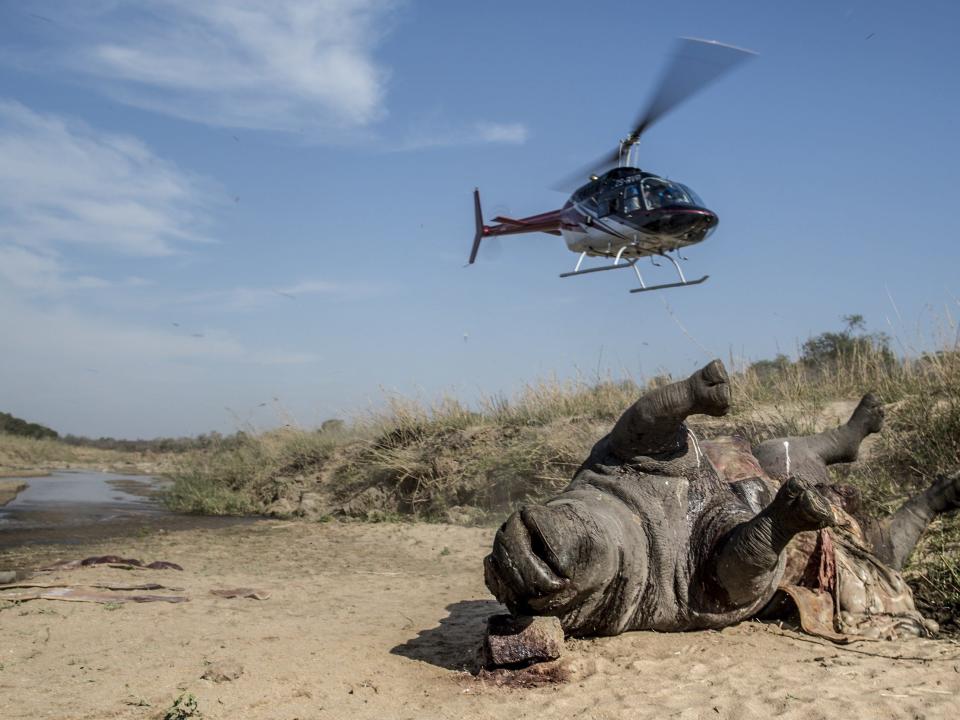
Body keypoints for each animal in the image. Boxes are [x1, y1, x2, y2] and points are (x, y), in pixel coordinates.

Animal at [484, 362, 956, 640]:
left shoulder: (625, 453)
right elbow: (747, 557)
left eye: (536, 550)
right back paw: (942, 492)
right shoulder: (703, 590)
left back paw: (869, 421)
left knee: (793, 449)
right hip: (866, 549)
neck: (638, 521)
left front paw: (708, 385)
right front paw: (794, 511)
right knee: (887, 545)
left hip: (776, 457)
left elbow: (648, 412)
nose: (512, 561)